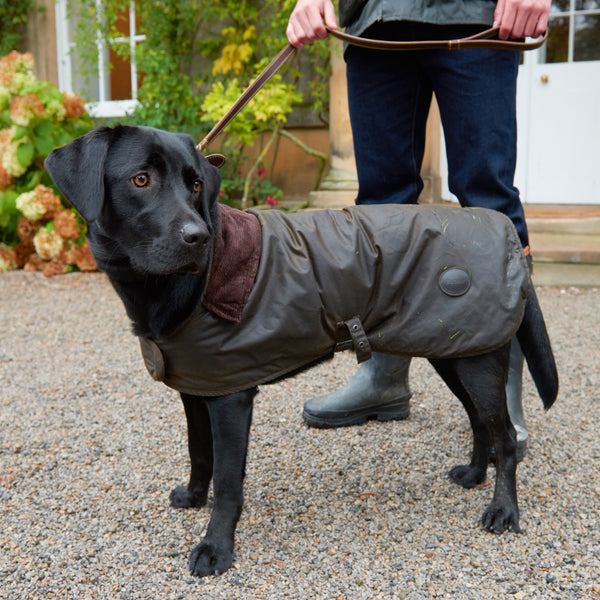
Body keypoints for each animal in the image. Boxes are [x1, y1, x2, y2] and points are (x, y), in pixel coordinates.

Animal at [45, 125, 556, 576]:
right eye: (141, 180)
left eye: (195, 184)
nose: (198, 237)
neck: (183, 285)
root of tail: (509, 237)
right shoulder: (197, 387)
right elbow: (198, 453)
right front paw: (193, 497)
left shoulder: (231, 397)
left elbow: (228, 481)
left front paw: (216, 548)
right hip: (454, 349)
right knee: (480, 422)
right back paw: (474, 475)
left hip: (476, 359)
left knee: (505, 436)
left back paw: (504, 511)